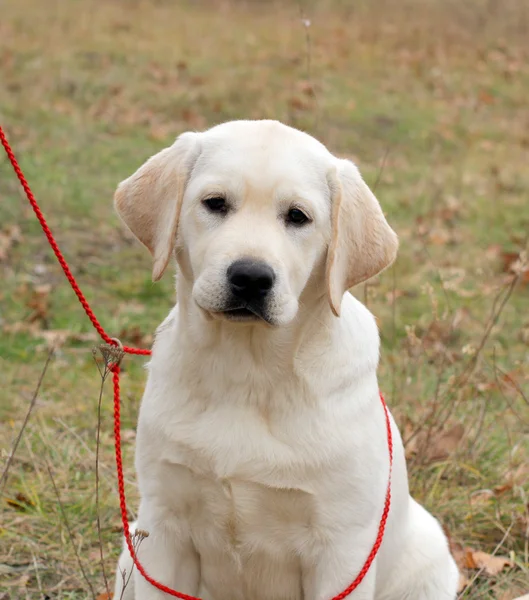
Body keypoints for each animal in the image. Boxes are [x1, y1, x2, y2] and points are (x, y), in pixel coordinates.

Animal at [112, 120, 458, 600]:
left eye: (297, 216)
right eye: (214, 203)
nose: (250, 277)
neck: (247, 370)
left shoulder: (341, 550)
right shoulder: (163, 528)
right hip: (132, 552)